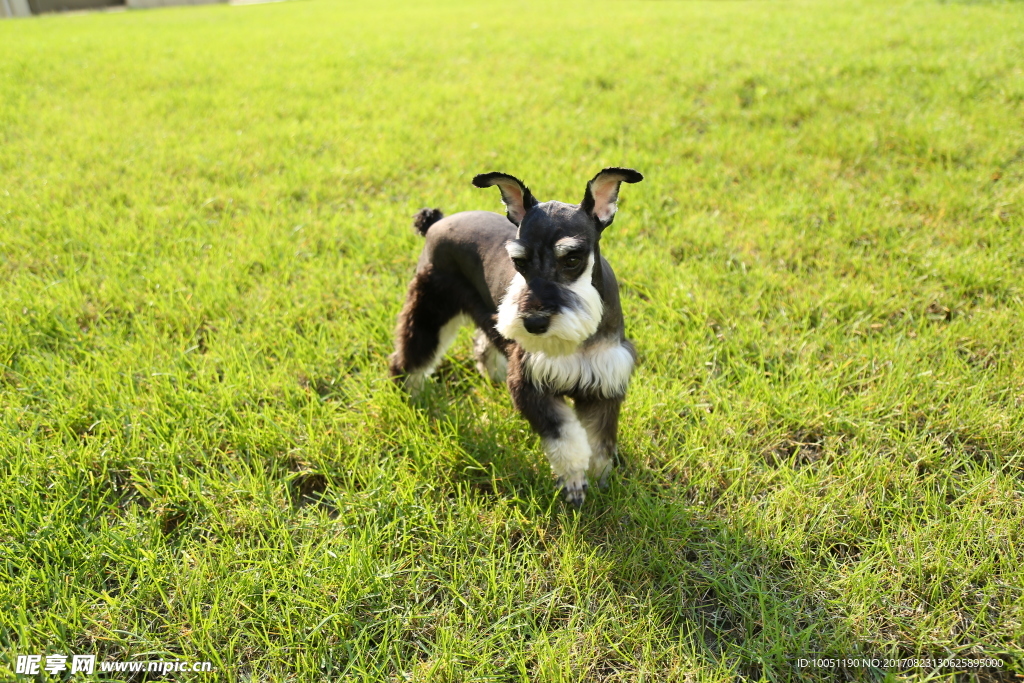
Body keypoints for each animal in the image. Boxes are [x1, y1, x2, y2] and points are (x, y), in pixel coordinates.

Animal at [387, 166, 643, 507]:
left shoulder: (603, 383)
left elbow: (599, 440)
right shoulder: (531, 382)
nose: (534, 322)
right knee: (411, 356)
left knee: (483, 344)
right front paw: (574, 482)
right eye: (518, 262)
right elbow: (565, 437)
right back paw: (410, 395)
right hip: (430, 309)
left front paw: (601, 478)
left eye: (572, 259)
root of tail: (437, 222)